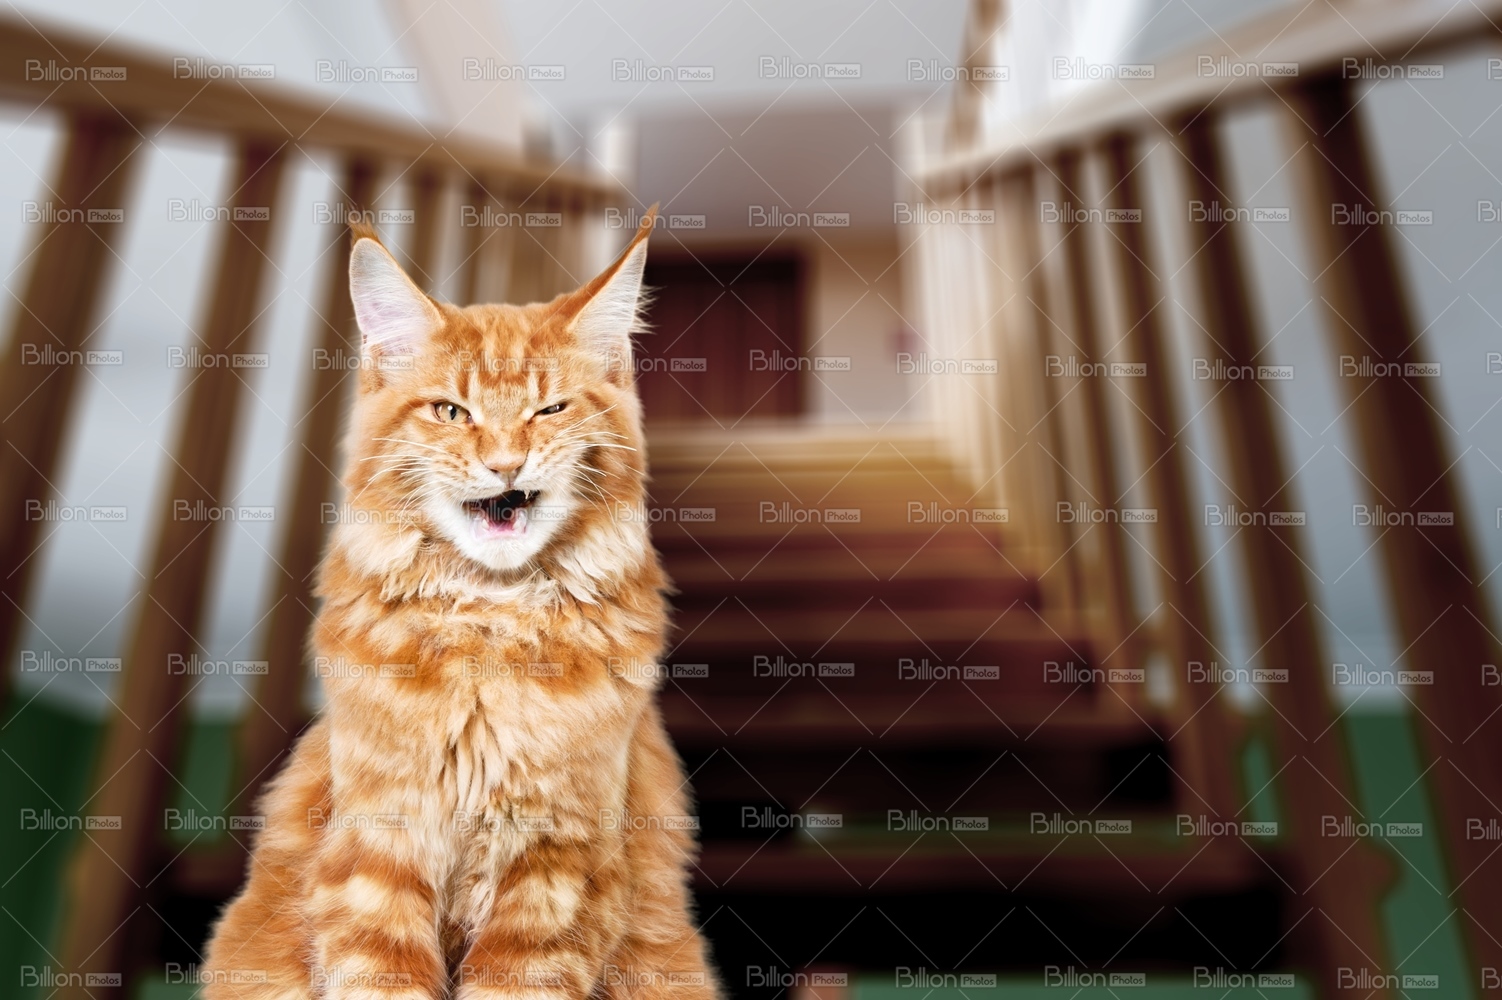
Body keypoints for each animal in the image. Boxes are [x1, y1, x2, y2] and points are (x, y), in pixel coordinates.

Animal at [202, 207, 720, 1000]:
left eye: (549, 409)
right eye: (452, 411)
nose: (506, 464)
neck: (490, 621)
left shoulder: (560, 863)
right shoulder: (377, 847)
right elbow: (382, 976)